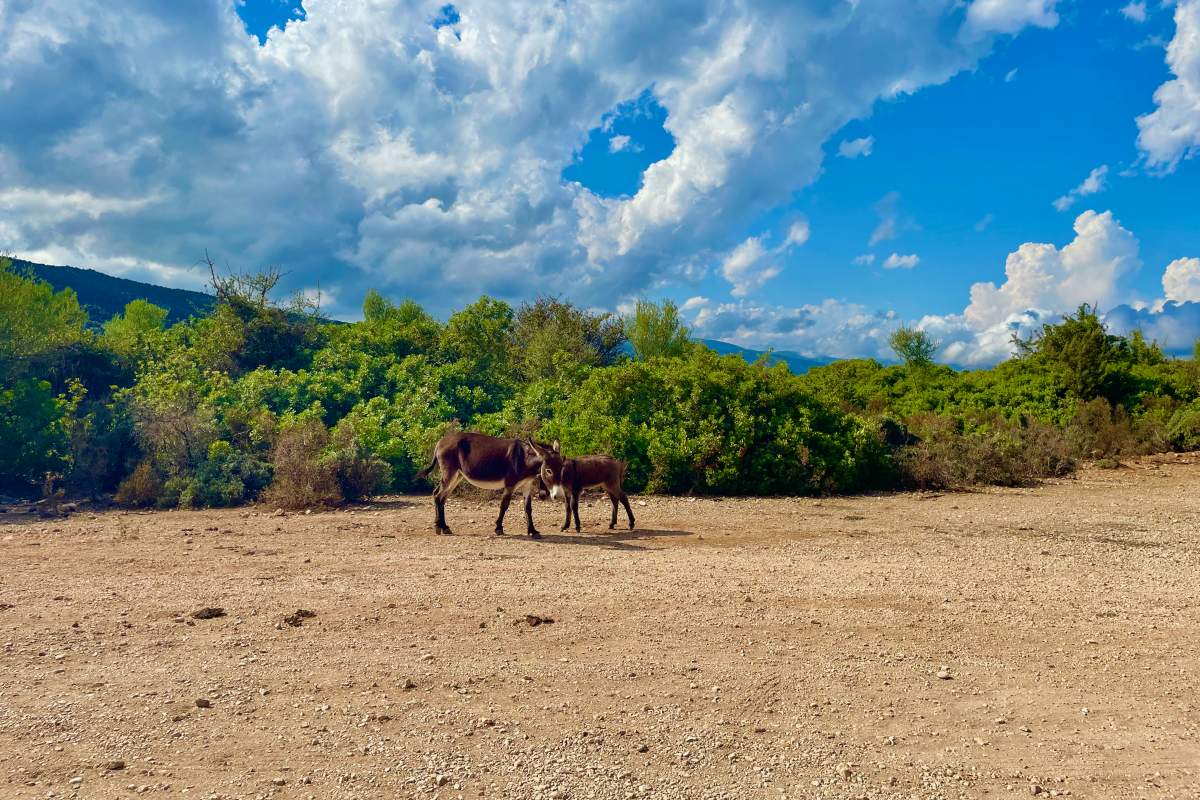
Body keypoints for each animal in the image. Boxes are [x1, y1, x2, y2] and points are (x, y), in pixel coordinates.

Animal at [417, 431, 561, 537]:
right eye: (548, 470)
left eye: (561, 467)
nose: (549, 495)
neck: (524, 459)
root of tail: (440, 442)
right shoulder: (510, 484)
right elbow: (504, 505)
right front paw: (498, 528)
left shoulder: (527, 485)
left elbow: (528, 508)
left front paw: (532, 531)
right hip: (450, 473)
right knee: (438, 495)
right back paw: (439, 527)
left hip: (457, 476)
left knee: (440, 496)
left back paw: (444, 527)